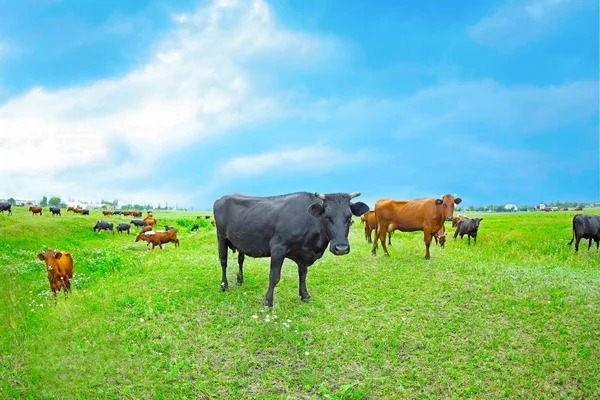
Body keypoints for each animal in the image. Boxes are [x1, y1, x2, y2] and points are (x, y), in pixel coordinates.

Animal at [213, 191, 368, 306]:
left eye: (349, 218)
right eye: (326, 217)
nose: (341, 248)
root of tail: (222, 198)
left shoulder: (304, 254)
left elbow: (303, 274)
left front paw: (305, 295)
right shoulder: (277, 247)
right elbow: (274, 276)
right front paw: (268, 301)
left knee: (240, 259)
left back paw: (240, 280)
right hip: (221, 236)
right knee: (223, 261)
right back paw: (224, 285)